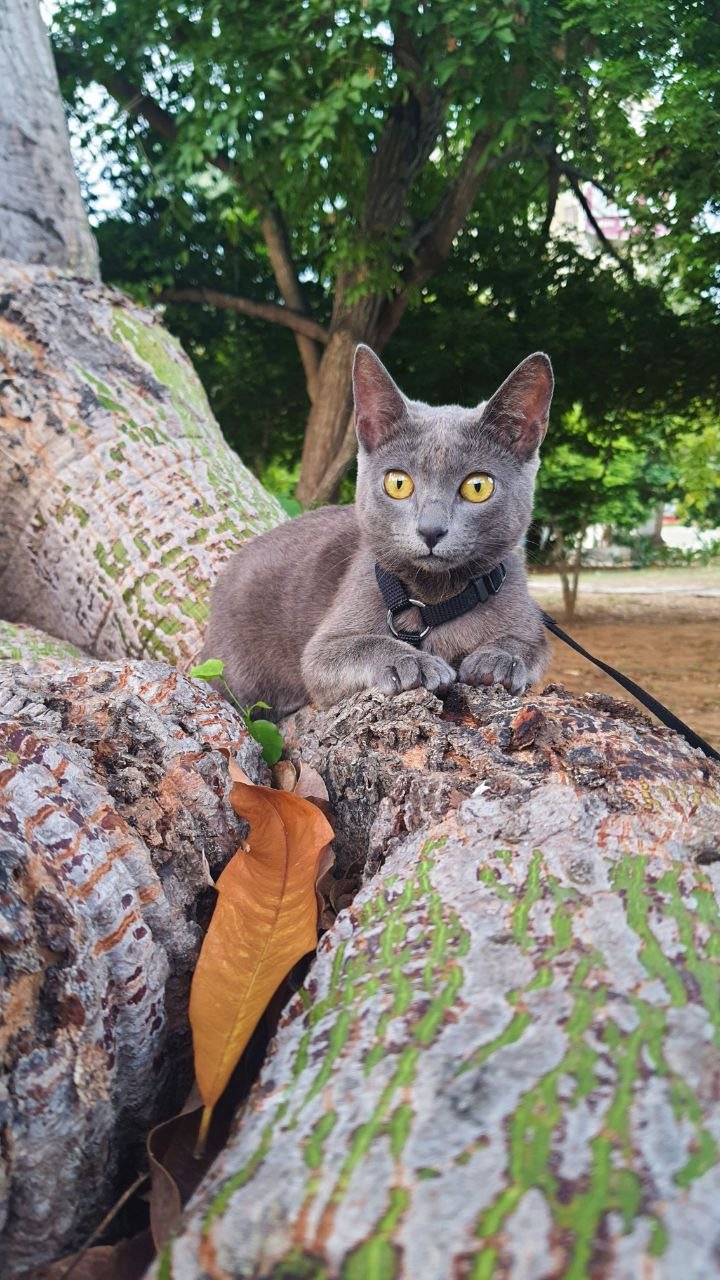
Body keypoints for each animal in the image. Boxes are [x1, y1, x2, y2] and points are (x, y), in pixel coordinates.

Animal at [198, 343, 550, 721]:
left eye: (478, 486)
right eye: (398, 483)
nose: (430, 529)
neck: (433, 601)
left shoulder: (527, 618)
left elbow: (530, 645)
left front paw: (500, 659)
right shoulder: (324, 647)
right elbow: (360, 645)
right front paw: (413, 661)